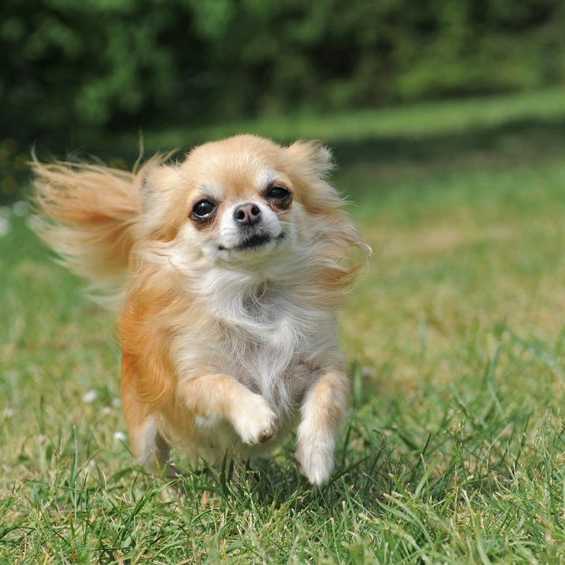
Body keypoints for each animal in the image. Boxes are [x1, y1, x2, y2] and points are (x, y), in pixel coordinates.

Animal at [33, 134, 366, 482]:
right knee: (156, 465)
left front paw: (316, 458)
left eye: (279, 193)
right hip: (145, 433)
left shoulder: (323, 365)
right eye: (203, 208)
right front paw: (256, 418)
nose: (247, 210)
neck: (253, 293)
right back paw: (175, 487)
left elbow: (327, 397)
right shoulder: (192, 383)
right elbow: (223, 385)